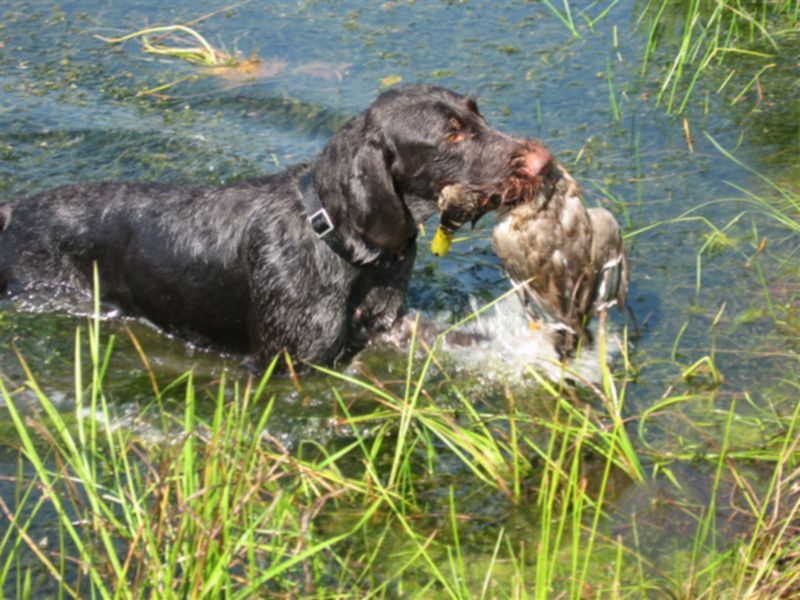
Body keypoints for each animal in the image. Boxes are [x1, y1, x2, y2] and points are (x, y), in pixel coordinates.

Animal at [0, 82, 552, 368]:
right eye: (451, 135)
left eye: (477, 113)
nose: (543, 162)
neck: (339, 244)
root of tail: (13, 208)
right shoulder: (286, 366)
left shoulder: (384, 326)